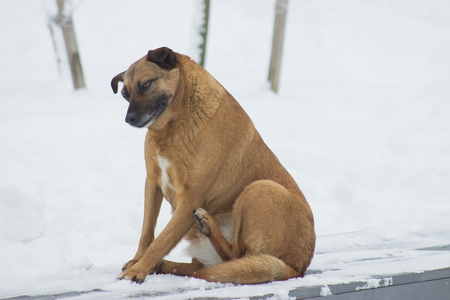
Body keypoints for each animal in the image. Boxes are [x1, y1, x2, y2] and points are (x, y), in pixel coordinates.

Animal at [110, 47, 314, 284]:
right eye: (125, 94)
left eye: (146, 84)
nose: (129, 119)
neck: (174, 125)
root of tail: (296, 267)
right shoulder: (153, 183)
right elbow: (147, 233)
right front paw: (138, 262)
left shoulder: (190, 198)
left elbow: (160, 240)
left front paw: (138, 270)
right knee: (205, 266)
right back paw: (166, 263)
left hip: (260, 188)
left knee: (234, 255)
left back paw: (206, 225)